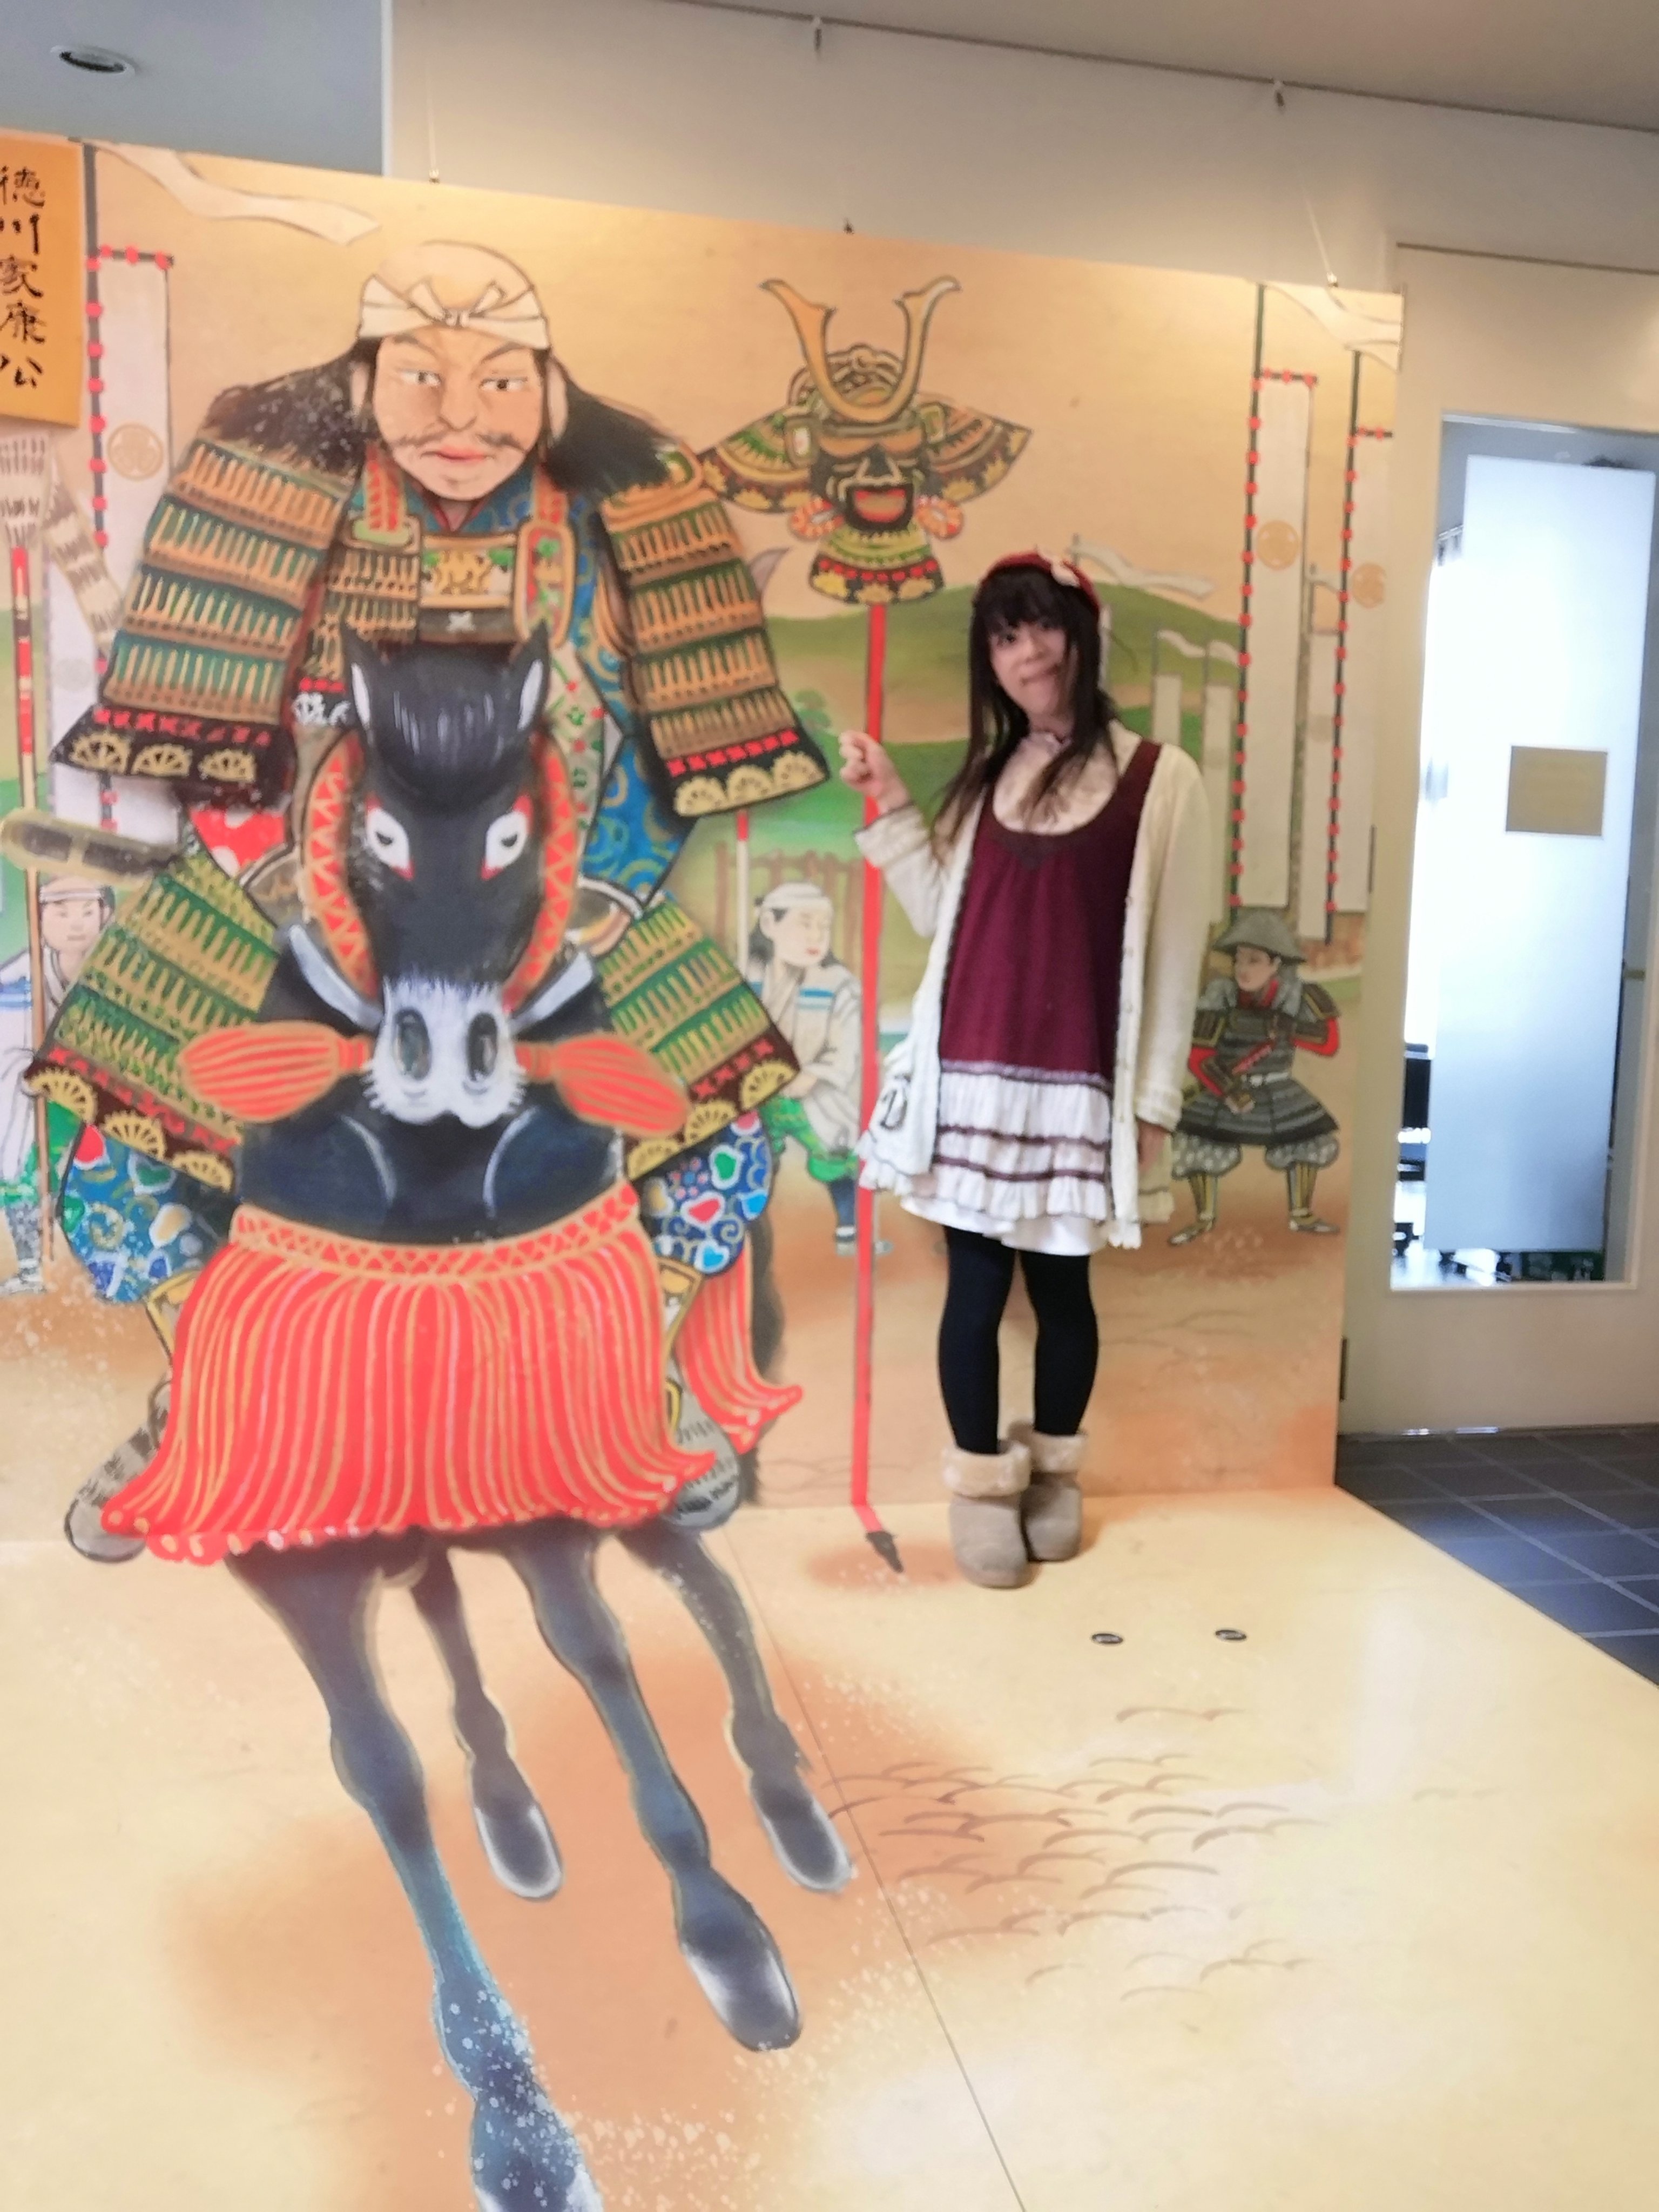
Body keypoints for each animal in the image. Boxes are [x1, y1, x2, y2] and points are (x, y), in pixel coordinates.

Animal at [96, 628, 851, 2212]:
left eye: (515, 833)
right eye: (376, 833)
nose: (445, 1057)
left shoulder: (559, 1491)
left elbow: (611, 1670)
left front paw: (727, 1941)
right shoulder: (306, 1556)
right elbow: (385, 1777)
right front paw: (516, 2117)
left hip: (623, 1474)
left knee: (699, 1587)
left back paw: (789, 1806)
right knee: (463, 1620)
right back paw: (513, 1811)